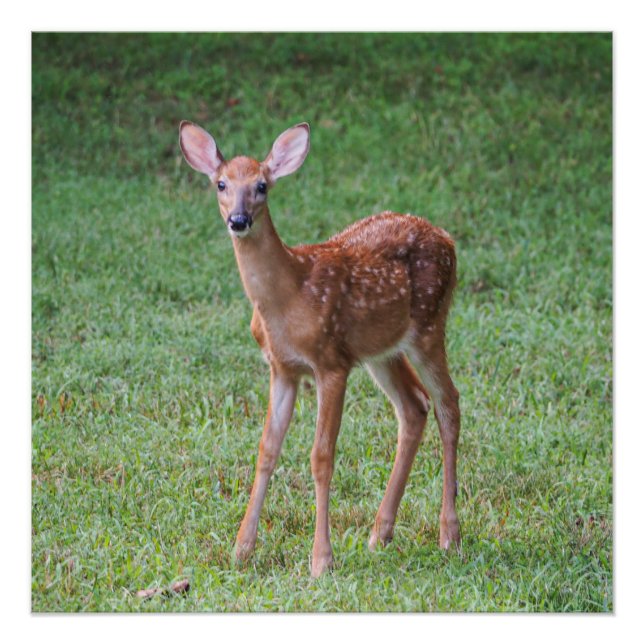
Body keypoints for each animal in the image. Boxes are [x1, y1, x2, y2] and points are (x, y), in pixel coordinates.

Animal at [179, 120, 462, 577]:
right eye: (221, 184)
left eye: (262, 186)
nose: (238, 220)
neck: (290, 296)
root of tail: (448, 238)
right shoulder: (282, 368)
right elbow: (266, 450)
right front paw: (241, 549)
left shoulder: (331, 363)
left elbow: (321, 456)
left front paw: (321, 559)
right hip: (382, 350)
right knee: (414, 406)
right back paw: (380, 533)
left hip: (430, 325)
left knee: (448, 403)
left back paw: (449, 534)